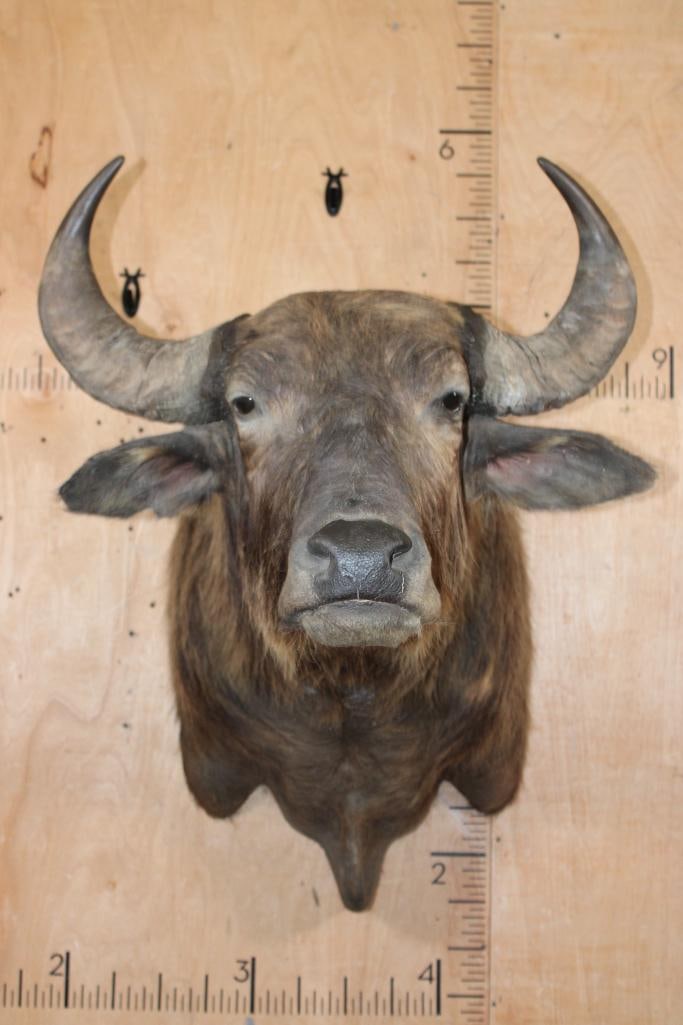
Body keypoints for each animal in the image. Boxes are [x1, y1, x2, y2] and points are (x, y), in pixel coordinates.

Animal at [38, 157, 653, 910]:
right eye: (245, 403)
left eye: (451, 399)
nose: (361, 559)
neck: (352, 699)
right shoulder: (212, 767)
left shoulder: (493, 768)